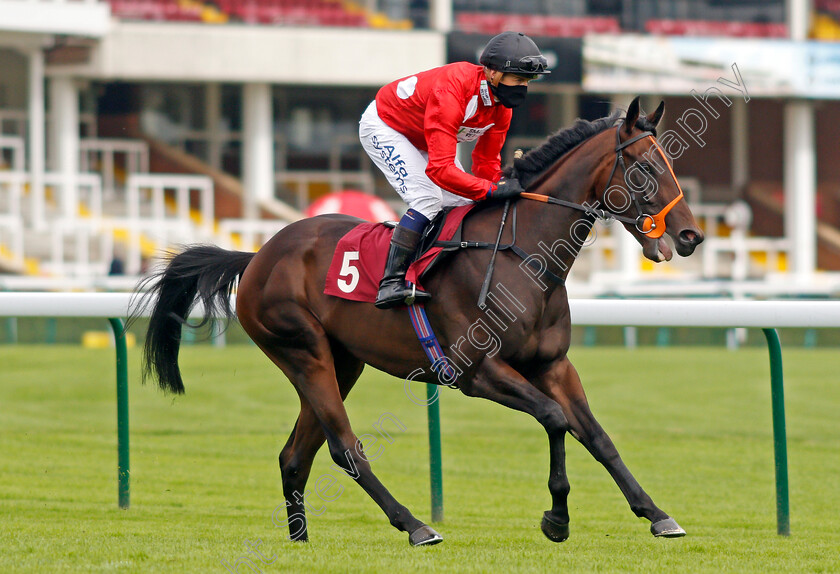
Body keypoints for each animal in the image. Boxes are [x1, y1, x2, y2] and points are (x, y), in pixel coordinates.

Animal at [136, 97, 704, 548]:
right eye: (645, 168)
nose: (691, 235)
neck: (522, 255)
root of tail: (258, 255)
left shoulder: (554, 366)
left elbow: (597, 436)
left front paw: (657, 515)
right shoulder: (477, 372)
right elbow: (555, 418)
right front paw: (557, 518)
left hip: (341, 362)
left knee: (295, 454)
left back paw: (300, 538)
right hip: (302, 351)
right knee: (345, 447)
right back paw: (415, 525)